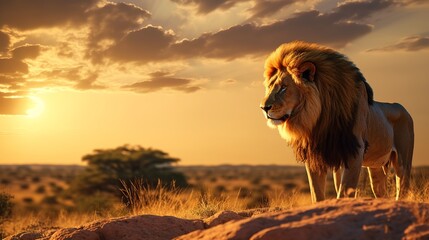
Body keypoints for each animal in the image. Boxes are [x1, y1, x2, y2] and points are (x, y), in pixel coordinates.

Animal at [260, 41, 412, 202]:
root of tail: (404, 109)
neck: (320, 119)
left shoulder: (355, 151)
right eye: (269, 87)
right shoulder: (315, 155)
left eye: (284, 88)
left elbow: (345, 191)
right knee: (381, 192)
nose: (264, 107)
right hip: (376, 168)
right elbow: (317, 194)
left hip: (403, 162)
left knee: (402, 188)